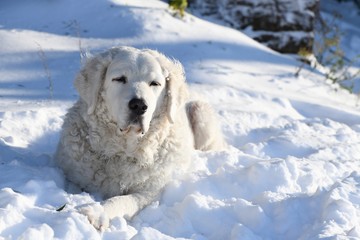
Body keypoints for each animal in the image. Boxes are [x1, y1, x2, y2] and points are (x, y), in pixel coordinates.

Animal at [54, 46, 225, 230]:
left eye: (154, 83)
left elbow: (121, 201)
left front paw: (95, 212)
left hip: (200, 111)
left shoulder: (148, 192)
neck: (123, 150)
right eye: (120, 79)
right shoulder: (73, 175)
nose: (139, 105)